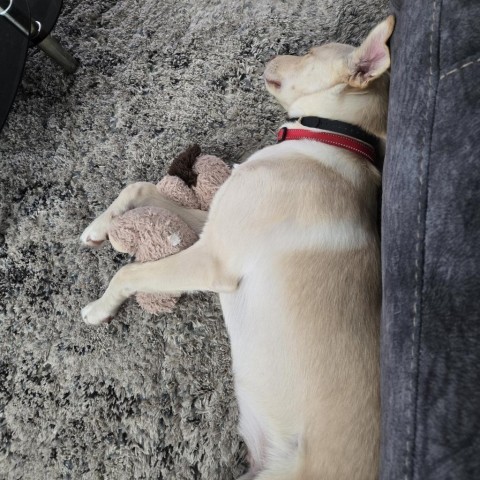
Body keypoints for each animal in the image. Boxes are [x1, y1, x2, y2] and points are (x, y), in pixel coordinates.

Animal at [79, 15, 394, 480]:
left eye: (309, 52)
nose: (274, 53)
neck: (330, 138)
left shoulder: (214, 259)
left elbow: (129, 272)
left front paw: (100, 308)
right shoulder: (214, 227)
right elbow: (138, 187)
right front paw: (99, 228)